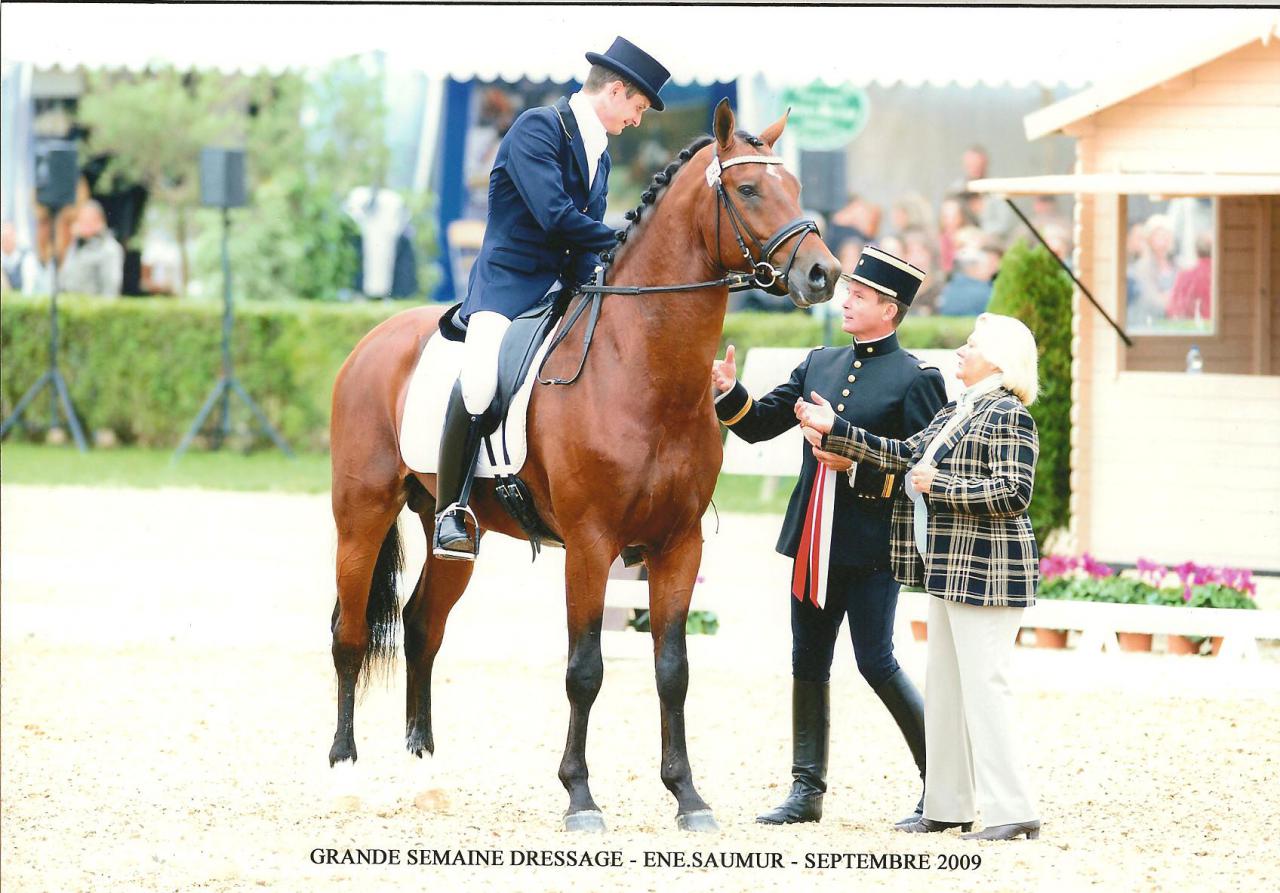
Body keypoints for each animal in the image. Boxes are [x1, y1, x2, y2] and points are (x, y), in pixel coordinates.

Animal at [327, 99, 840, 832]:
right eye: (747, 190)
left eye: (795, 186)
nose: (824, 274)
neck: (642, 366)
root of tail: (374, 338)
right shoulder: (592, 544)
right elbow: (585, 669)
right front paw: (579, 796)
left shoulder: (678, 544)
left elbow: (672, 668)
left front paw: (688, 797)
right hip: (361, 514)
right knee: (348, 634)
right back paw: (345, 772)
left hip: (449, 533)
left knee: (423, 629)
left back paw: (424, 771)